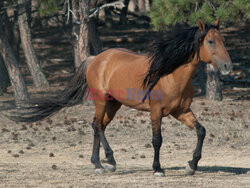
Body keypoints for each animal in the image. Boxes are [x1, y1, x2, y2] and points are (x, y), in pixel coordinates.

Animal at [10, 19, 233, 176]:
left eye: (223, 40)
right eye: (210, 41)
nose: (228, 67)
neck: (170, 74)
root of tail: (95, 59)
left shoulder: (181, 111)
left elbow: (201, 131)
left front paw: (191, 165)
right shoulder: (156, 112)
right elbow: (157, 140)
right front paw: (157, 169)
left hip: (113, 104)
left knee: (97, 126)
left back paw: (98, 164)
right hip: (101, 101)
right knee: (98, 126)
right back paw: (109, 162)